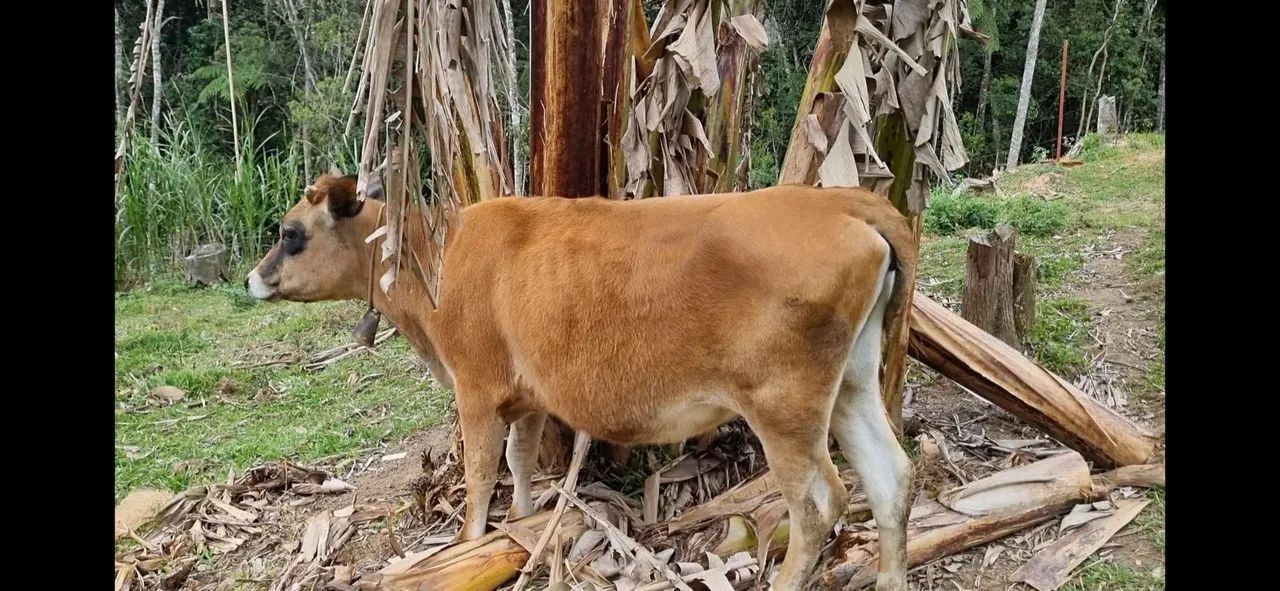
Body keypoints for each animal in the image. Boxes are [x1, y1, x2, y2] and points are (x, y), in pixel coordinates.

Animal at [246, 173, 918, 590]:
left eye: (288, 232)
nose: (253, 279)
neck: (435, 254)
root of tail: (839, 202)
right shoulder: (526, 397)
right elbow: (518, 463)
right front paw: (518, 530)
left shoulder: (475, 388)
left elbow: (479, 474)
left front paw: (469, 543)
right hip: (852, 384)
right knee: (891, 478)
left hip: (784, 405)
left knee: (818, 504)